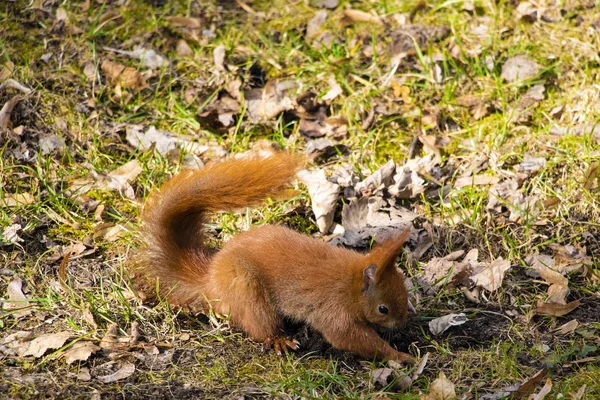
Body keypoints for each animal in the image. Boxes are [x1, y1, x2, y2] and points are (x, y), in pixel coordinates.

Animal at [134, 152, 414, 364]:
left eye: (405, 291)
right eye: (383, 308)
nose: (402, 323)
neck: (352, 282)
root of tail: (211, 279)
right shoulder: (335, 311)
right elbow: (349, 338)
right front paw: (400, 356)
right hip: (248, 292)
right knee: (260, 326)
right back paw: (279, 339)